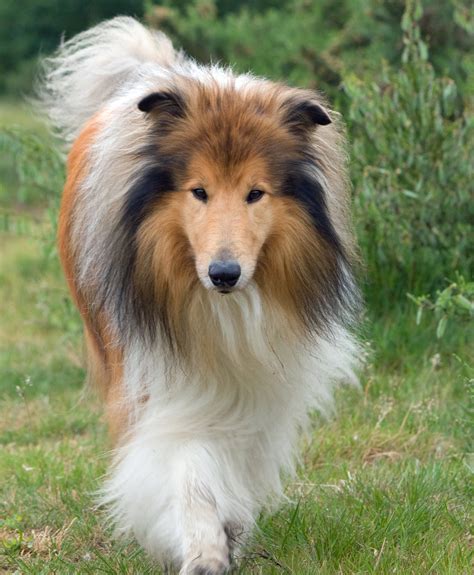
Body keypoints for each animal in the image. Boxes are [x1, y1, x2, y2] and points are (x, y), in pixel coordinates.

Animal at [39, 16, 362, 575]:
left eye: (255, 193)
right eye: (199, 191)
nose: (224, 273)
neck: (222, 308)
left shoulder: (259, 388)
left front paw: (229, 529)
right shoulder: (160, 381)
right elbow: (186, 462)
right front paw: (204, 549)